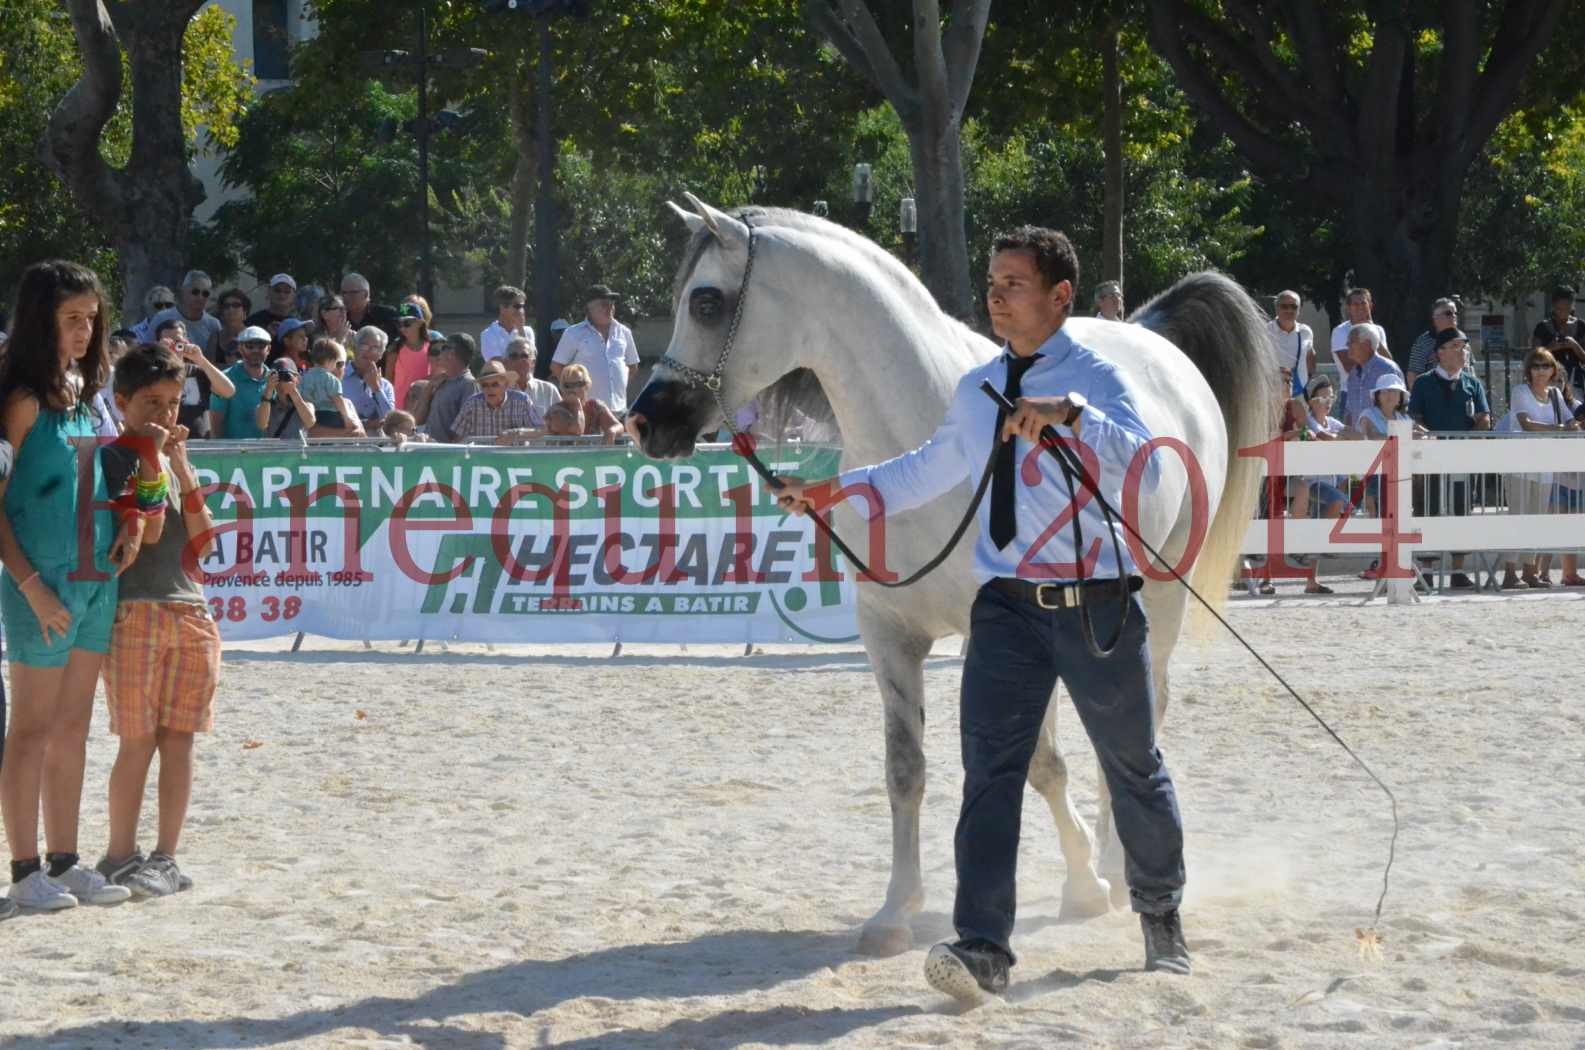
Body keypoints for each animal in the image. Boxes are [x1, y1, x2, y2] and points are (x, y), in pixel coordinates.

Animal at [630, 193, 1274, 958]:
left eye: (705, 300)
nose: (643, 421)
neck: (924, 427)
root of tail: (1151, 338)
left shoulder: (998, 628)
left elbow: (1039, 763)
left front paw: (1083, 882)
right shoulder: (889, 636)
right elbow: (905, 769)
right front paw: (894, 912)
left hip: (1160, 596)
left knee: (1137, 722)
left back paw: (1119, 867)